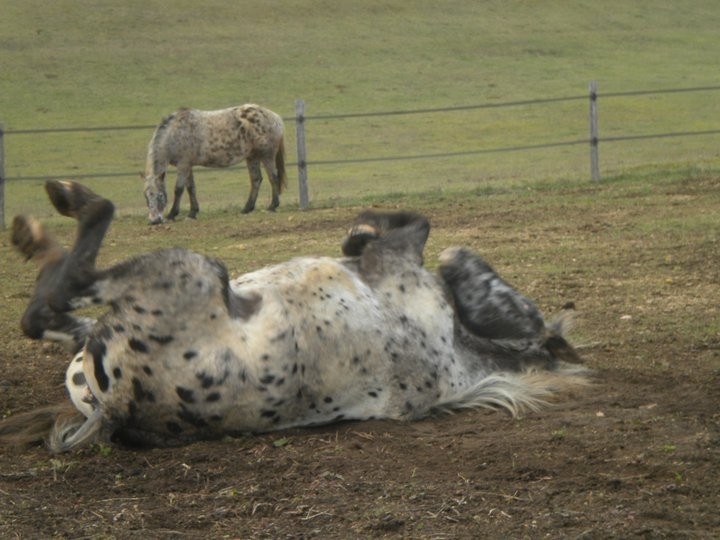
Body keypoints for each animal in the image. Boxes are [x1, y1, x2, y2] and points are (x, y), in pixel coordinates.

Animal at [0, 180, 592, 452]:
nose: (459, 262)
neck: (459, 351)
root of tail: (114, 407)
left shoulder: (399, 257)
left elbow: (412, 224)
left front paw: (360, 230)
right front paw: (358, 232)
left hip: (190, 270)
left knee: (62, 291)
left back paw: (57, 210)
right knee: (57, 316)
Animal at [142, 103, 286, 224]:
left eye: (160, 195)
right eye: (146, 197)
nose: (154, 221)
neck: (174, 133)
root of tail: (275, 117)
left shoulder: (183, 165)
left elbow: (178, 189)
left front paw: (172, 214)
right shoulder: (188, 166)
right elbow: (191, 188)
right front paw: (192, 213)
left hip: (267, 156)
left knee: (273, 178)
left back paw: (272, 206)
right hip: (252, 157)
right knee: (256, 180)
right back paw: (247, 208)